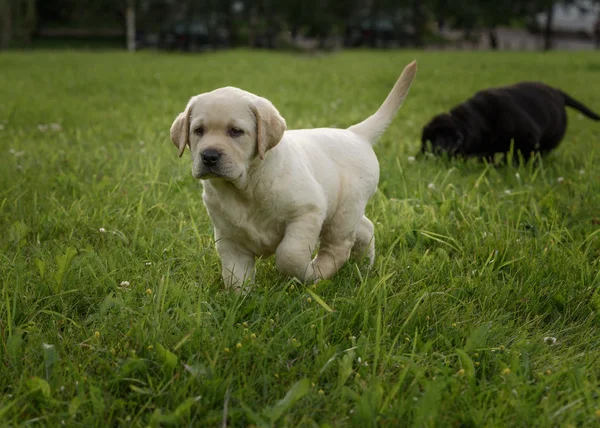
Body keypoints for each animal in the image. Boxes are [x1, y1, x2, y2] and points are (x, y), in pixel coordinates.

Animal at [170, 60, 418, 290]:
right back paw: (364, 268)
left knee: (338, 245)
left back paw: (323, 269)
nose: (209, 156)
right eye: (198, 130)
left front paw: (307, 274)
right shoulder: (229, 237)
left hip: (345, 209)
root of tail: (355, 133)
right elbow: (235, 275)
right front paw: (240, 300)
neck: (245, 187)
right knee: (365, 229)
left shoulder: (307, 211)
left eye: (235, 131)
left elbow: (290, 254)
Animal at [422, 81, 600, 160]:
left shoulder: (530, 137)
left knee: (542, 151)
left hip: (551, 138)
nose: (435, 152)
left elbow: (519, 155)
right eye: (428, 140)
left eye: (442, 138)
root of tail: (559, 93)